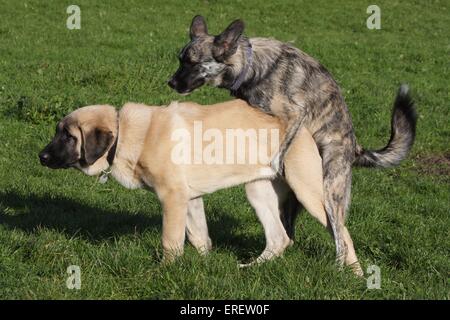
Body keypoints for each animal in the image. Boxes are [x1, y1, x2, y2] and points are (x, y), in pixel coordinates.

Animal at [37, 99, 362, 276]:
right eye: (58, 132)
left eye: (68, 136)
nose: (41, 157)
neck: (128, 135)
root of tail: (303, 127)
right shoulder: (190, 199)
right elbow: (199, 238)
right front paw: (204, 268)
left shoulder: (173, 198)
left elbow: (171, 241)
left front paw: (164, 271)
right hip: (258, 191)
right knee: (279, 239)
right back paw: (249, 268)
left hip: (310, 192)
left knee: (342, 233)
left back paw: (354, 275)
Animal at [169, 16, 418, 268]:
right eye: (180, 60)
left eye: (192, 63)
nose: (171, 83)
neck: (251, 65)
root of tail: (355, 147)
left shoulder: (295, 114)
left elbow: (281, 146)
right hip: (294, 201)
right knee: (289, 233)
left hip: (329, 191)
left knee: (340, 237)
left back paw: (339, 268)